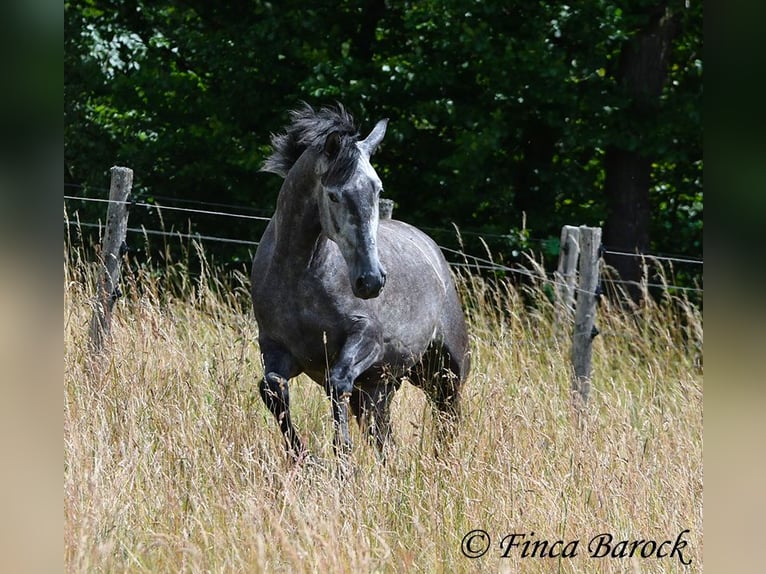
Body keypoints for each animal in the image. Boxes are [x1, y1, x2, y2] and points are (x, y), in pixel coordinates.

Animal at [252, 104, 472, 464]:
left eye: (377, 188)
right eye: (333, 195)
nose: (371, 281)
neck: (299, 276)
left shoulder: (367, 339)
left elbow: (337, 382)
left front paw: (342, 459)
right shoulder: (275, 347)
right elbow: (272, 388)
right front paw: (304, 458)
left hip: (443, 370)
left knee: (447, 418)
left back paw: (444, 462)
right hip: (379, 388)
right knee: (384, 436)